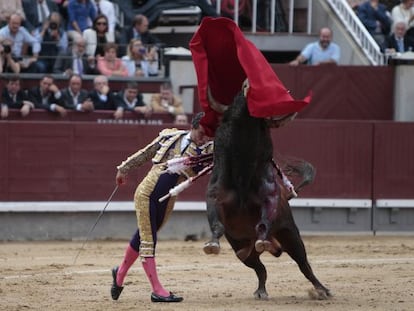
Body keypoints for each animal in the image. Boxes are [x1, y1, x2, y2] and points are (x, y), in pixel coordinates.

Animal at [203, 92, 330, 300]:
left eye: (259, 124)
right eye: (227, 121)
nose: (245, 92)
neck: (242, 178)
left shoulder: (268, 198)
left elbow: (263, 222)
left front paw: (262, 238)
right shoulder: (215, 198)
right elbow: (217, 224)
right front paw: (212, 244)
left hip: (290, 235)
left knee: (303, 264)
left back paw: (321, 289)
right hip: (241, 247)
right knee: (258, 266)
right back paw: (261, 289)